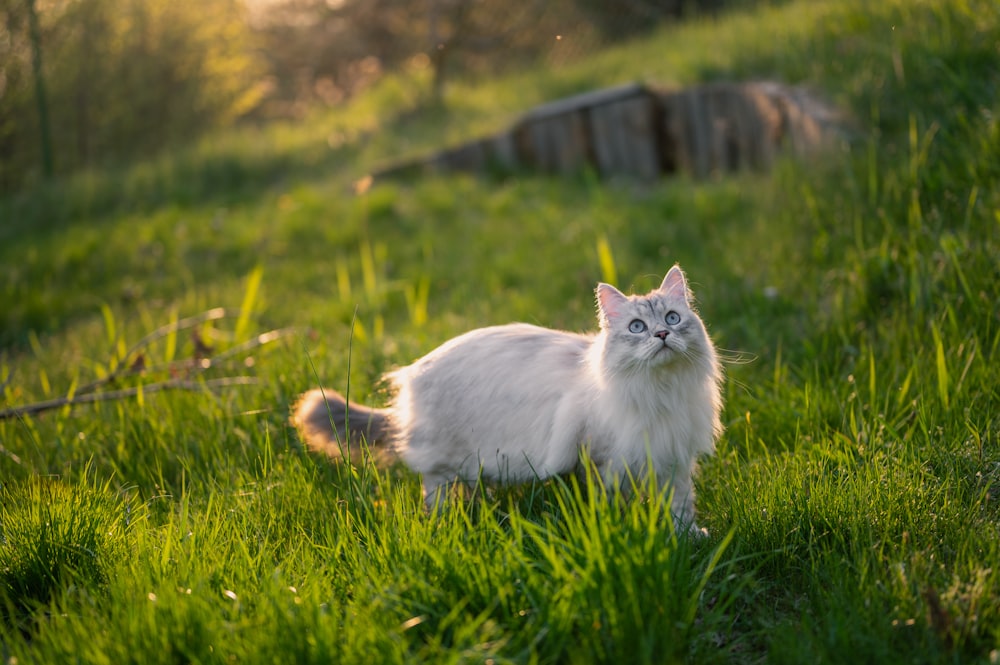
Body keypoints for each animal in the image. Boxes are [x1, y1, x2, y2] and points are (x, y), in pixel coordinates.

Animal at [292, 268, 724, 532]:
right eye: (637, 327)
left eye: (672, 319)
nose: (662, 336)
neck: (661, 392)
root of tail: (413, 372)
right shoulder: (606, 459)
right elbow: (611, 505)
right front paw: (622, 531)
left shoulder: (673, 457)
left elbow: (681, 506)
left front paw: (689, 536)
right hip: (444, 461)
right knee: (435, 490)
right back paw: (447, 522)